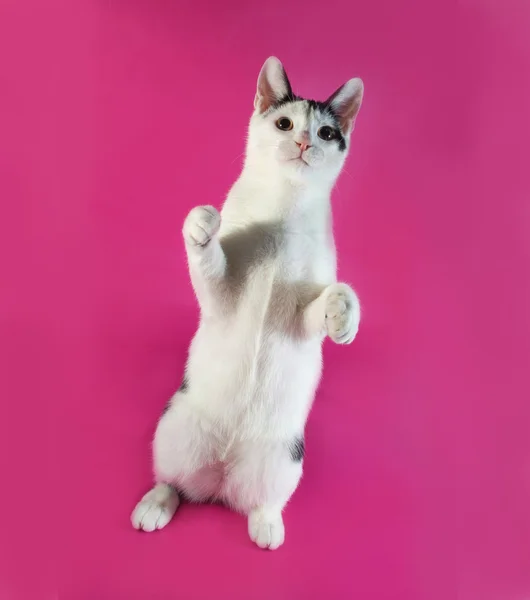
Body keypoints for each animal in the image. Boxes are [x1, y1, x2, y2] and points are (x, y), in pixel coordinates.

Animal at [131, 56, 364, 548]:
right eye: (285, 123)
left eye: (326, 132)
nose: (303, 141)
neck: (285, 209)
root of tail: (222, 475)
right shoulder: (221, 298)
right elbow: (210, 265)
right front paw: (202, 226)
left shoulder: (300, 320)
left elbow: (320, 307)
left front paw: (343, 315)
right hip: (173, 428)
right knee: (172, 482)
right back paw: (156, 504)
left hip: (286, 459)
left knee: (262, 498)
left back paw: (267, 523)